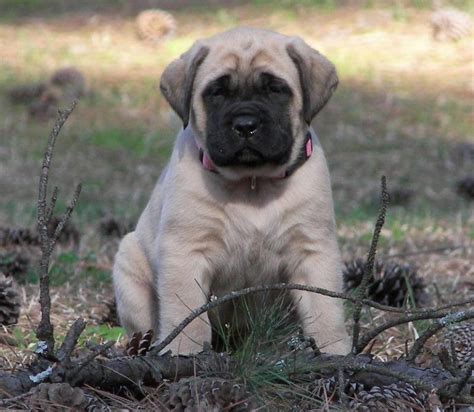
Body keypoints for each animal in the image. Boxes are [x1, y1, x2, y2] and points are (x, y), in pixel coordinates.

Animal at [114, 27, 350, 354]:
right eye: (216, 93)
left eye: (275, 90)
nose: (245, 124)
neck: (252, 184)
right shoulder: (185, 251)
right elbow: (185, 310)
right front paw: (183, 351)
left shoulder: (313, 251)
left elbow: (325, 308)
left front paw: (334, 351)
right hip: (129, 268)